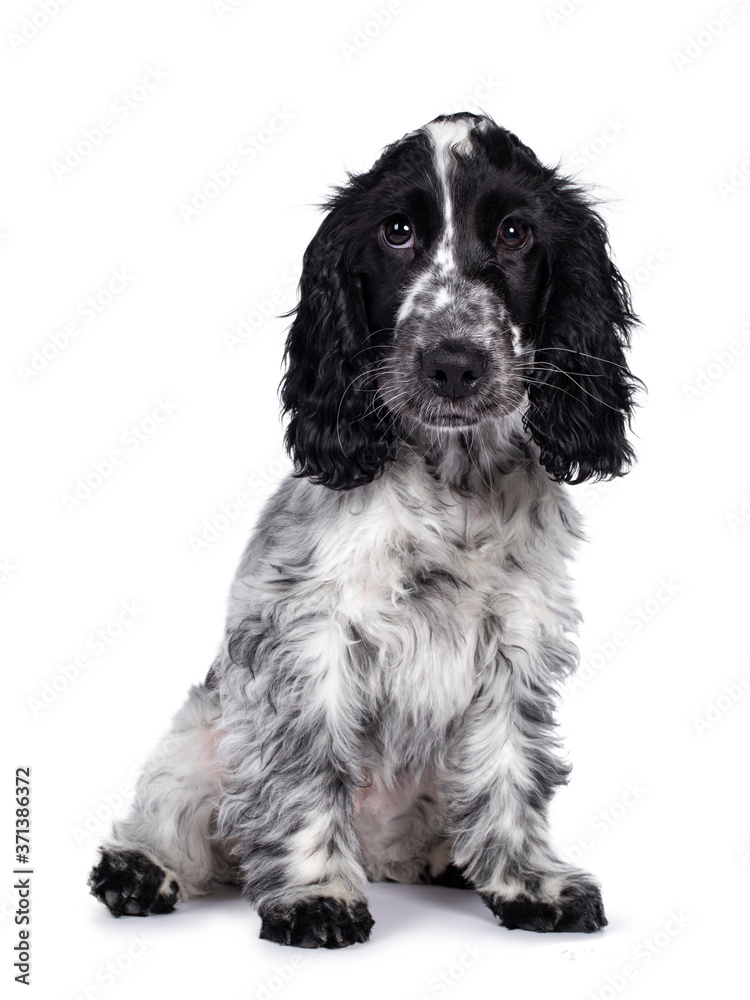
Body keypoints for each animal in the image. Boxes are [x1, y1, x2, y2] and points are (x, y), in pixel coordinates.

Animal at [88, 113, 640, 948]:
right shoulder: (310, 635)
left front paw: (529, 885)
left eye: (515, 231)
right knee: (180, 819)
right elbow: (307, 771)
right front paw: (316, 897)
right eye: (397, 232)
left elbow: (509, 769)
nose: (453, 363)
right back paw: (139, 872)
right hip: (201, 736)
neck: (454, 480)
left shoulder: (517, 639)